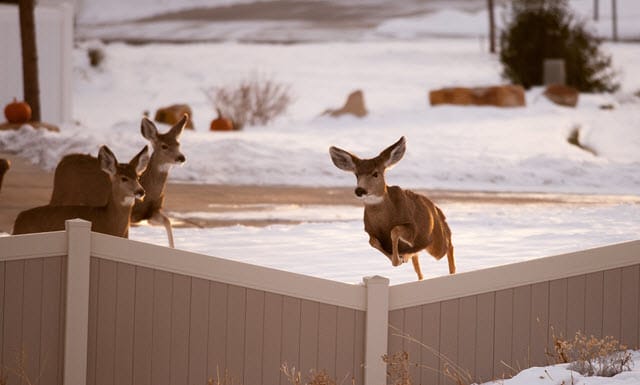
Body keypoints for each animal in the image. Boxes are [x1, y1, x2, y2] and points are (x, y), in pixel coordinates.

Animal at [50, 115, 186, 246]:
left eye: (178, 144)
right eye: (164, 146)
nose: (181, 157)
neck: (150, 188)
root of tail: (62, 161)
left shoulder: (150, 213)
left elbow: (168, 222)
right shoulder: (132, 215)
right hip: (62, 195)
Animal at [330, 136, 456, 280]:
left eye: (375, 173)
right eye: (356, 174)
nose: (360, 190)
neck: (384, 221)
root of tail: (436, 208)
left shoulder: (412, 228)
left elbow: (394, 230)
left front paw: (398, 259)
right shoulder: (370, 231)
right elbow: (372, 241)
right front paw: (397, 258)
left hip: (435, 242)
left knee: (449, 245)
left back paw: (452, 272)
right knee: (419, 264)